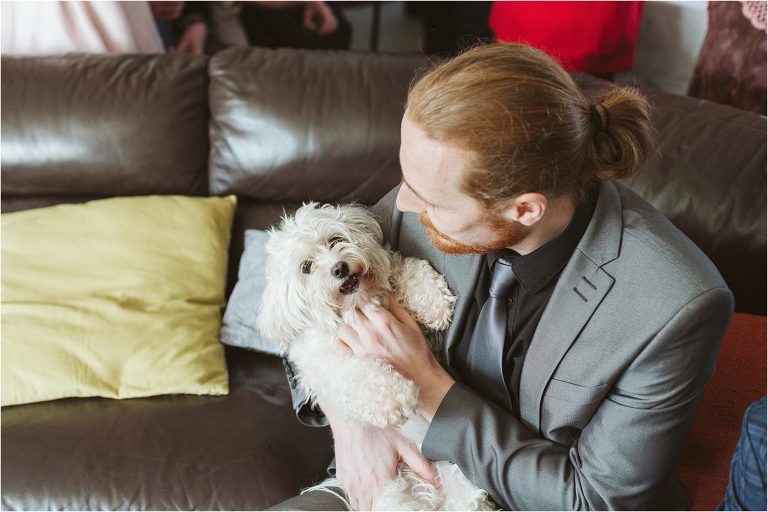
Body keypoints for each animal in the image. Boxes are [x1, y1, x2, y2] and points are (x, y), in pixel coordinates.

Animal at [258, 202, 496, 510]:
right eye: (306, 267)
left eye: (335, 240)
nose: (339, 268)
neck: (359, 305)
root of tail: (430, 498)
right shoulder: (329, 366)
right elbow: (362, 377)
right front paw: (397, 398)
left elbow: (405, 267)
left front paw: (434, 301)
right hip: (391, 494)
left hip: (459, 479)